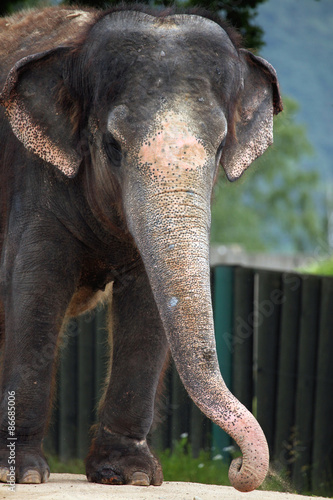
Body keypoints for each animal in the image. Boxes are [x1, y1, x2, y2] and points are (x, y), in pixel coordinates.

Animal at [0, 3, 280, 494]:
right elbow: (33, 287)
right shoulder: (31, 177)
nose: (236, 469)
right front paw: (22, 474)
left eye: (220, 146)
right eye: (112, 146)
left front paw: (129, 475)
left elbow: (148, 305)